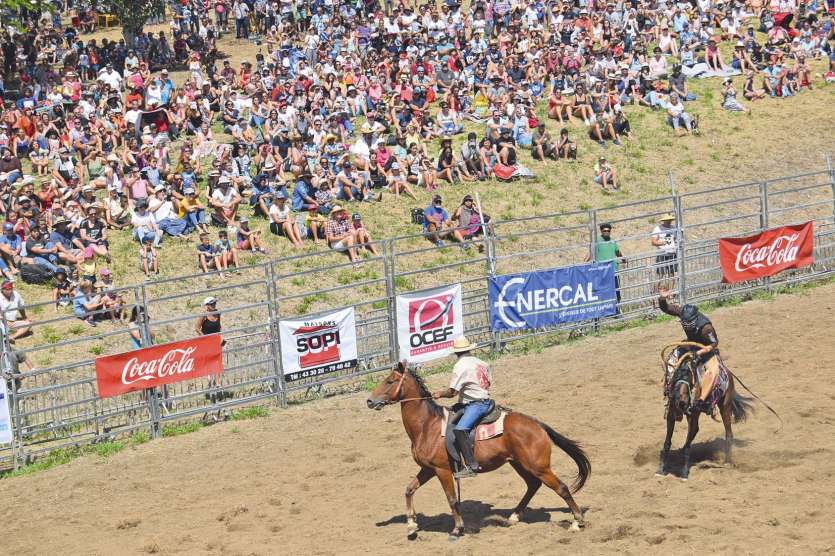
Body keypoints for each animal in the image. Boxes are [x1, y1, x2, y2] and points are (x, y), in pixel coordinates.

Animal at [368, 362, 596, 540]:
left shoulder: (442, 470)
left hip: (538, 466)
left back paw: (577, 522)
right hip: (519, 463)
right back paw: (513, 517)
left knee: (562, 488)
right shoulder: (428, 469)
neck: (427, 426)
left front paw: (457, 529)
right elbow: (409, 490)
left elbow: (452, 500)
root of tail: (537, 425)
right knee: (533, 485)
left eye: (390, 381)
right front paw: (411, 525)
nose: (370, 401)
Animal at [664, 340, 756, 480]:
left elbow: (688, 444)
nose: (681, 402)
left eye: (690, 376)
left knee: (728, 434)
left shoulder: (693, 414)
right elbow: (667, 442)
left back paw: (728, 463)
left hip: (724, 407)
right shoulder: (671, 413)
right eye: (675, 375)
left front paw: (684, 473)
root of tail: (728, 373)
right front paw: (661, 470)